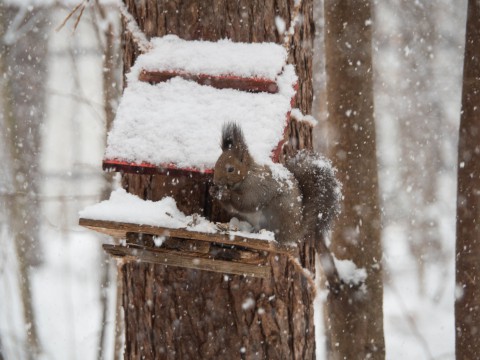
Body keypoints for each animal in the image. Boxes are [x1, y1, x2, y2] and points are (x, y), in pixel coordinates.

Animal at [210, 124, 342, 290]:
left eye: (230, 169)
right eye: (217, 162)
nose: (216, 181)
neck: (247, 174)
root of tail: (296, 230)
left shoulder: (258, 188)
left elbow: (247, 202)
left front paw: (227, 194)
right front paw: (214, 191)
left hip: (276, 211)